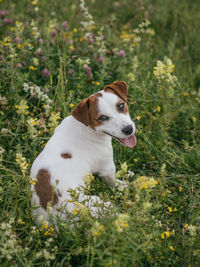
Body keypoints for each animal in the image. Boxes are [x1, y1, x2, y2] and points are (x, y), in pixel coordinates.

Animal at [30, 81, 138, 224]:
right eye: (102, 117)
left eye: (121, 105)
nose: (128, 129)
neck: (86, 128)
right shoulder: (107, 167)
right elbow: (114, 180)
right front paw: (125, 185)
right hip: (99, 203)